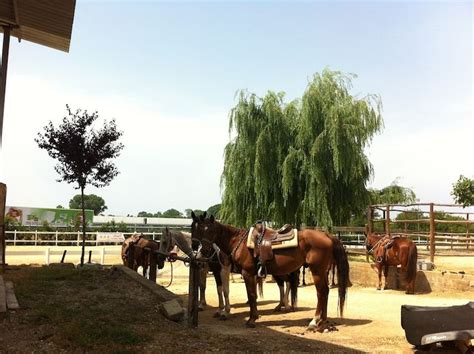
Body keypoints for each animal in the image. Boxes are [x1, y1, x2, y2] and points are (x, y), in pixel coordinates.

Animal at [191, 212, 350, 330]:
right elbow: (246, 294)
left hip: (317, 271)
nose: (201, 251)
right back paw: (322, 321)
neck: (238, 242)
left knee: (321, 292)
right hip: (320, 271)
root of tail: (327, 235)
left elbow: (251, 295)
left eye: (210, 230)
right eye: (195, 229)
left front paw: (251, 319)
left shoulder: (246, 273)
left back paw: (314, 321)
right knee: (324, 292)